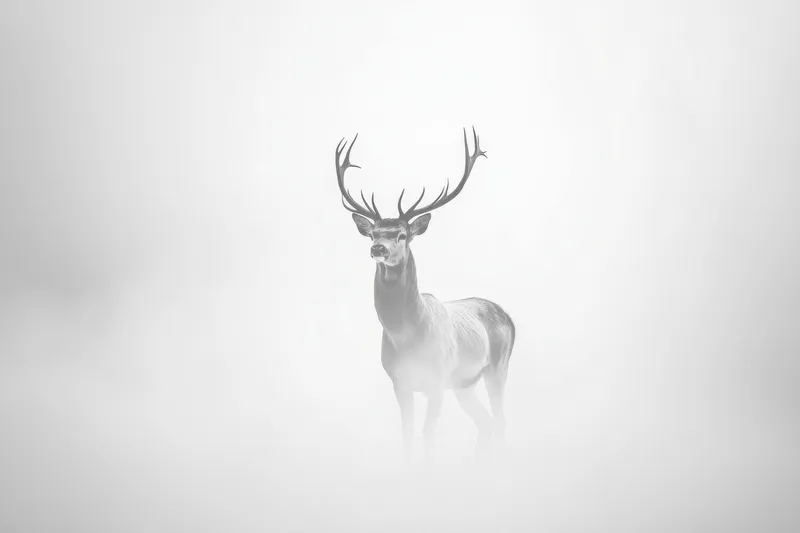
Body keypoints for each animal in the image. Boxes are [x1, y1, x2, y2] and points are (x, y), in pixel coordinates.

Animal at [335, 127, 515, 462]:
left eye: (402, 234)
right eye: (373, 233)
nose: (378, 249)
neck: (407, 338)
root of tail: (507, 315)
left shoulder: (437, 380)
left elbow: (427, 436)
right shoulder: (399, 382)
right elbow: (407, 435)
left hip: (498, 366)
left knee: (500, 420)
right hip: (464, 384)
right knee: (484, 422)